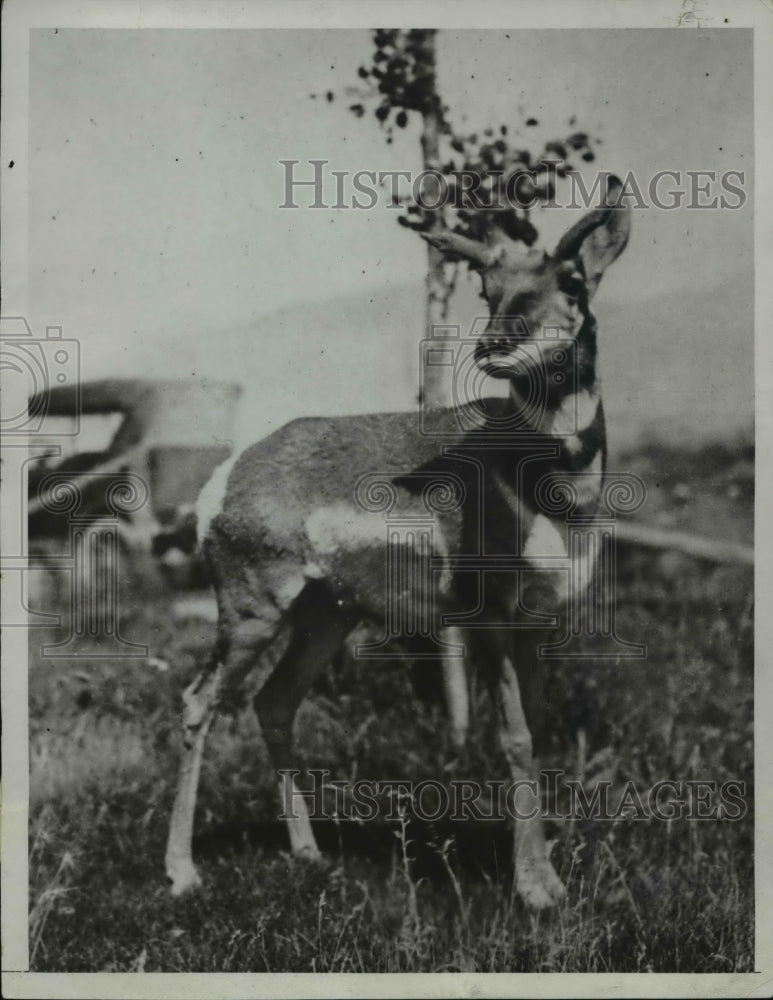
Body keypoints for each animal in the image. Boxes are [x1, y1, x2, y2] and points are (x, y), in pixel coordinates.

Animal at [166, 176, 632, 912]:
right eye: (488, 288)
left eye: (574, 280)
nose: (494, 346)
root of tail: (234, 468)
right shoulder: (488, 619)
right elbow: (515, 736)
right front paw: (537, 887)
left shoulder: (535, 622)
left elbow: (536, 731)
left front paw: (547, 872)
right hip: (252, 613)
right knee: (199, 701)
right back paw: (182, 872)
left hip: (325, 617)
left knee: (274, 702)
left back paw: (308, 854)